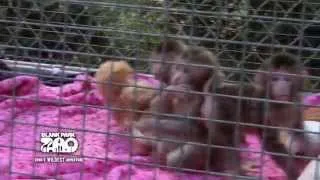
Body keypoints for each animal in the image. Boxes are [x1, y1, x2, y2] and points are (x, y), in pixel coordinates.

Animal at [254, 51, 308, 179]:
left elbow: (298, 129)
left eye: (287, 79)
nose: (282, 86)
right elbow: (271, 141)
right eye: (275, 79)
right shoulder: (265, 108)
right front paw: (295, 173)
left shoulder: (297, 103)